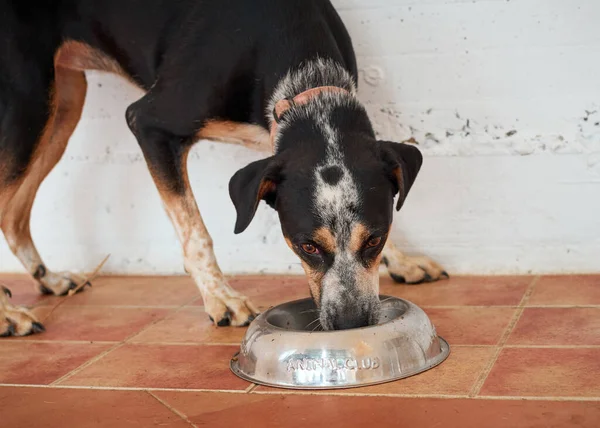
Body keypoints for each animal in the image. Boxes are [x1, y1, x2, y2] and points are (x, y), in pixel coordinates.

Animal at [0, 0, 446, 334]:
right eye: (307, 246)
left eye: (374, 240)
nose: (352, 324)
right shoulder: (150, 124)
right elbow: (195, 232)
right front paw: (221, 298)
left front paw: (402, 260)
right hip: (28, 103)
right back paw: (9, 314)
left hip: (62, 104)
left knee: (13, 215)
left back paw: (48, 278)